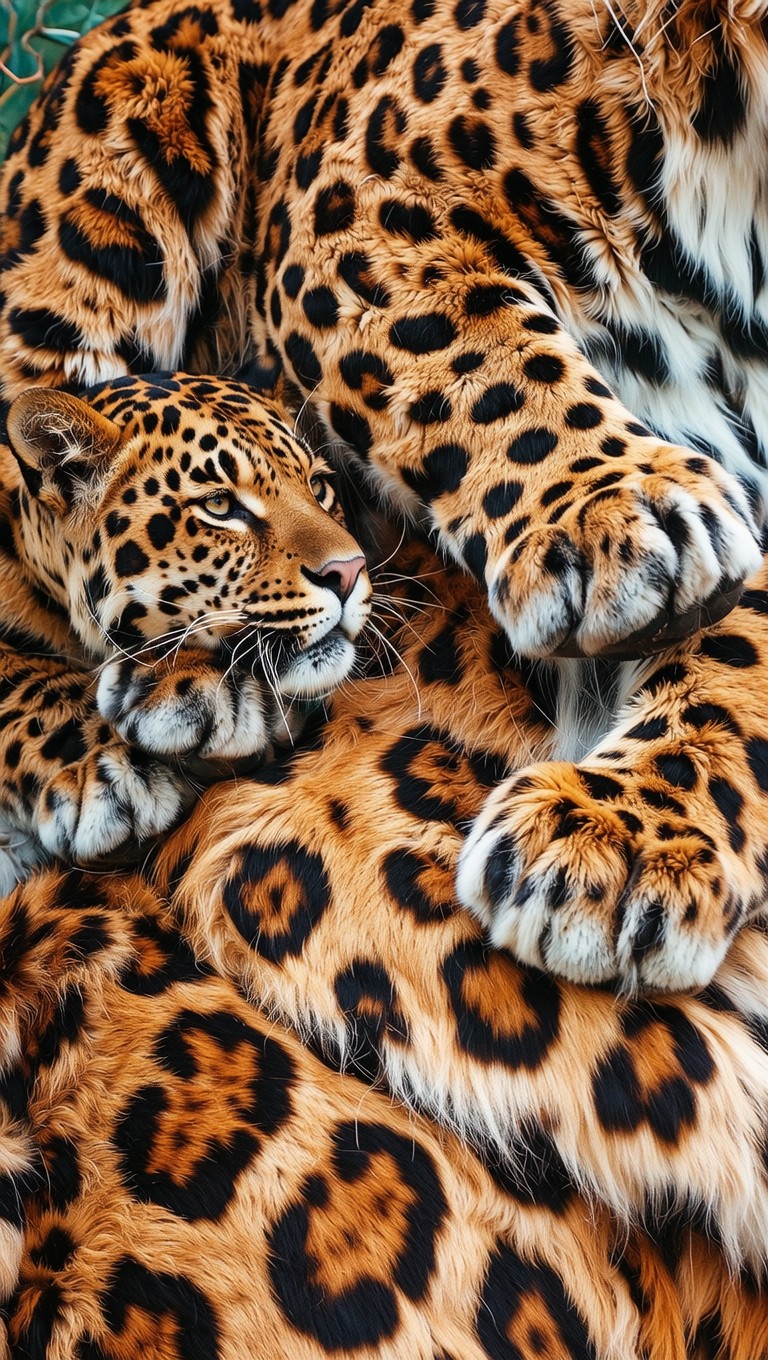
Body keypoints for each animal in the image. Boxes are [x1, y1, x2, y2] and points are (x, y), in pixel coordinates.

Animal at [0, 370, 371, 889]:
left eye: (318, 486)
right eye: (219, 504)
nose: (350, 571)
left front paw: (187, 685)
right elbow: (20, 674)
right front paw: (105, 774)